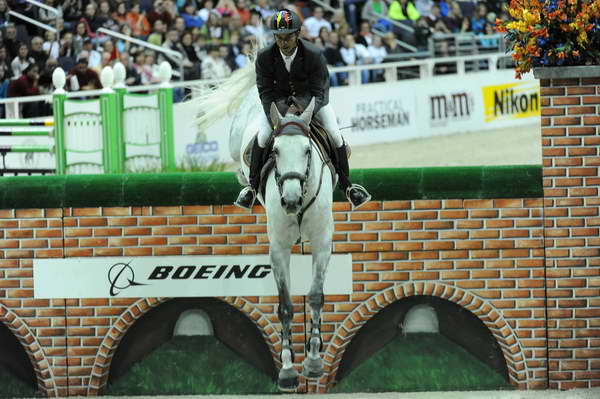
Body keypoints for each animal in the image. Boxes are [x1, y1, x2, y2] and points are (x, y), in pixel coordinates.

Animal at [197, 52, 336, 390]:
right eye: (275, 150)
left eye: (307, 150)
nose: (290, 201)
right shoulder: (279, 249)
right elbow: (285, 305)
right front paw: (287, 369)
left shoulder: (322, 243)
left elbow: (315, 297)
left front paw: (314, 362)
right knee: (239, 164)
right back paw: (245, 188)